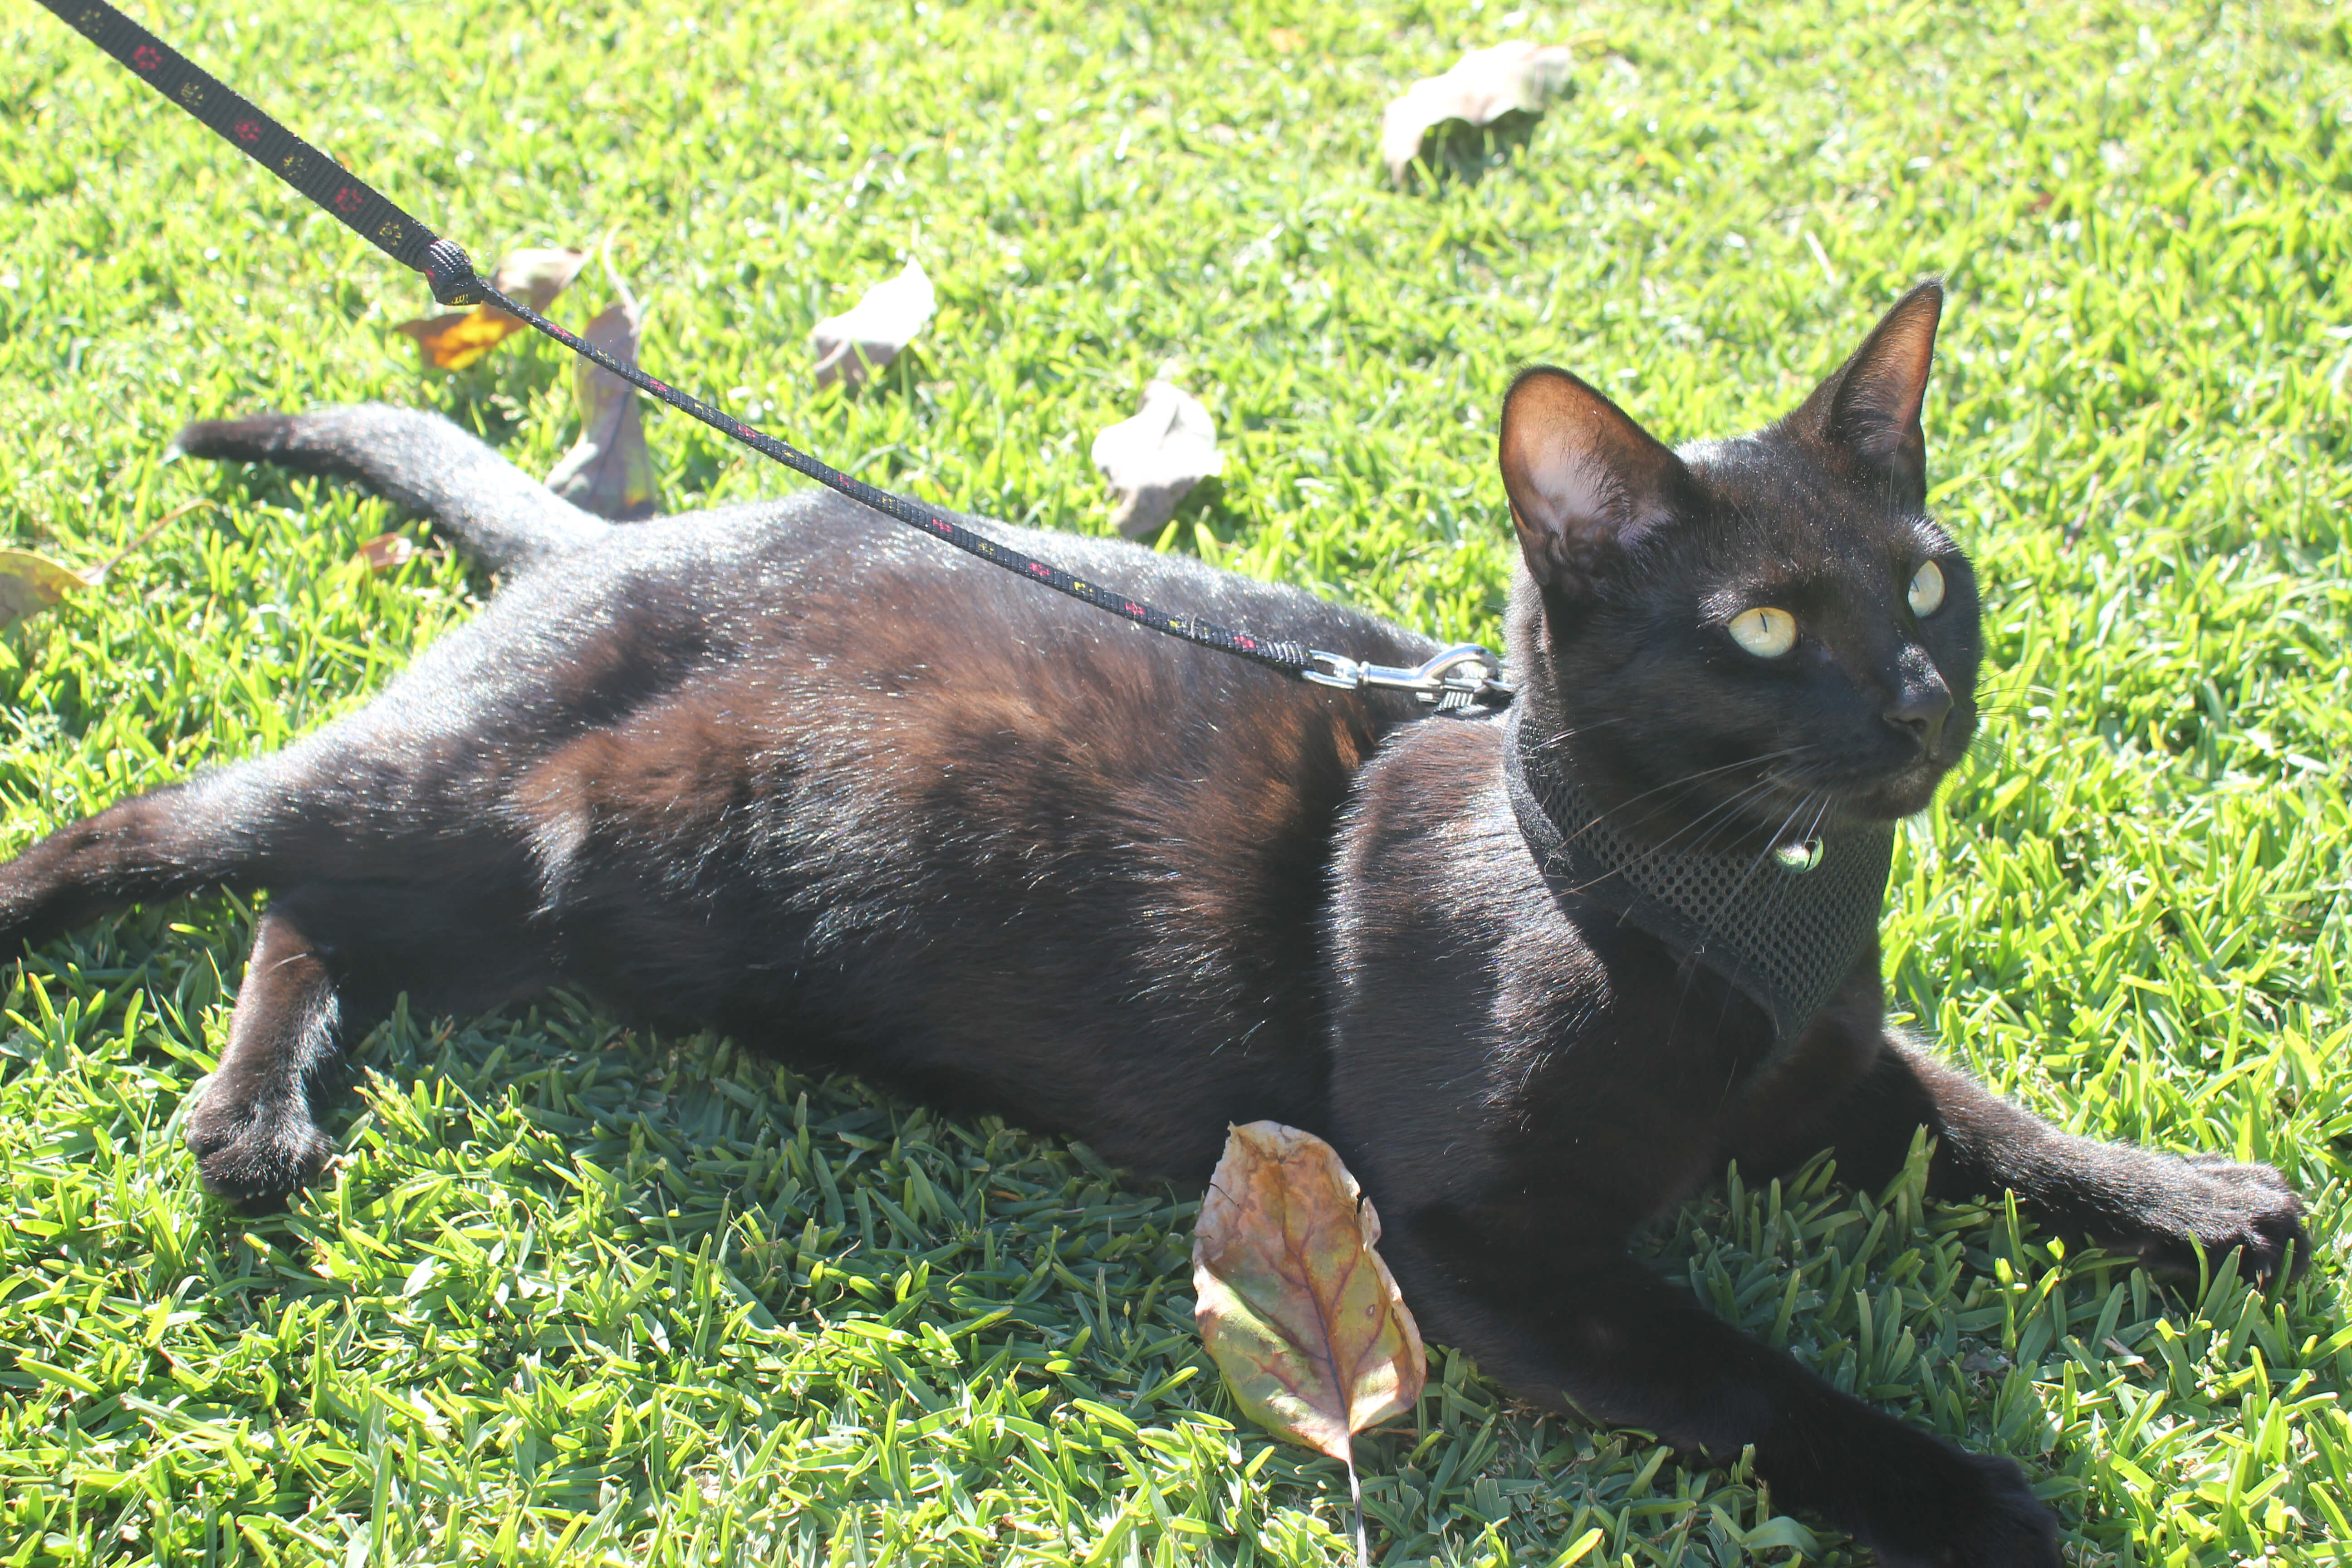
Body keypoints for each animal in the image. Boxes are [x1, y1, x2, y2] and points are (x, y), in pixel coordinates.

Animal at [9, 285, 2305, 1568]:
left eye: (1924, 581)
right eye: (1761, 626)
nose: (1915, 705)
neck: (1742, 903)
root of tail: (611, 536)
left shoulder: (1830, 1078)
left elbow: (1984, 1121)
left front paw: (2181, 1198)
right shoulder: (1477, 1242)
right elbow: (1743, 1377)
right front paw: (1959, 1495)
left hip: (530, 894)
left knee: (316, 915)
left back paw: (260, 1119)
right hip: (449, 804)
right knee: (180, 831)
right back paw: (164, 1028)